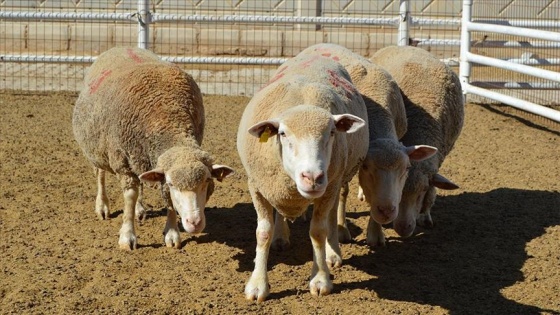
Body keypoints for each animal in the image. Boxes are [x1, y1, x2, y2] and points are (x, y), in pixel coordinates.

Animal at [72, 47, 234, 251]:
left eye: (206, 181)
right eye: (172, 184)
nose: (195, 223)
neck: (167, 116)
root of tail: (120, 47)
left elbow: (166, 200)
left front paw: (172, 234)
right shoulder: (123, 163)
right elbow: (129, 197)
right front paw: (127, 236)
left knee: (140, 180)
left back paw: (139, 209)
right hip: (98, 147)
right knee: (100, 174)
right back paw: (102, 206)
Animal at [236, 53, 368, 302]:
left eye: (332, 133)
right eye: (282, 133)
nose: (313, 177)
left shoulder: (329, 187)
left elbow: (318, 232)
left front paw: (320, 279)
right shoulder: (258, 186)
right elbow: (263, 233)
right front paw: (257, 285)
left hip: (335, 181)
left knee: (331, 217)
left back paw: (332, 253)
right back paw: (281, 237)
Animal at [290, 43, 440, 248]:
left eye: (407, 168)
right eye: (367, 167)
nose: (387, 211)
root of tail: (321, 44)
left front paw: (376, 233)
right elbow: (342, 192)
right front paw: (341, 230)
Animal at [372, 45, 464, 238]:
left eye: (421, 191)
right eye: (399, 190)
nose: (403, 228)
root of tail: (403, 45)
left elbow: (432, 192)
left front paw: (426, 216)